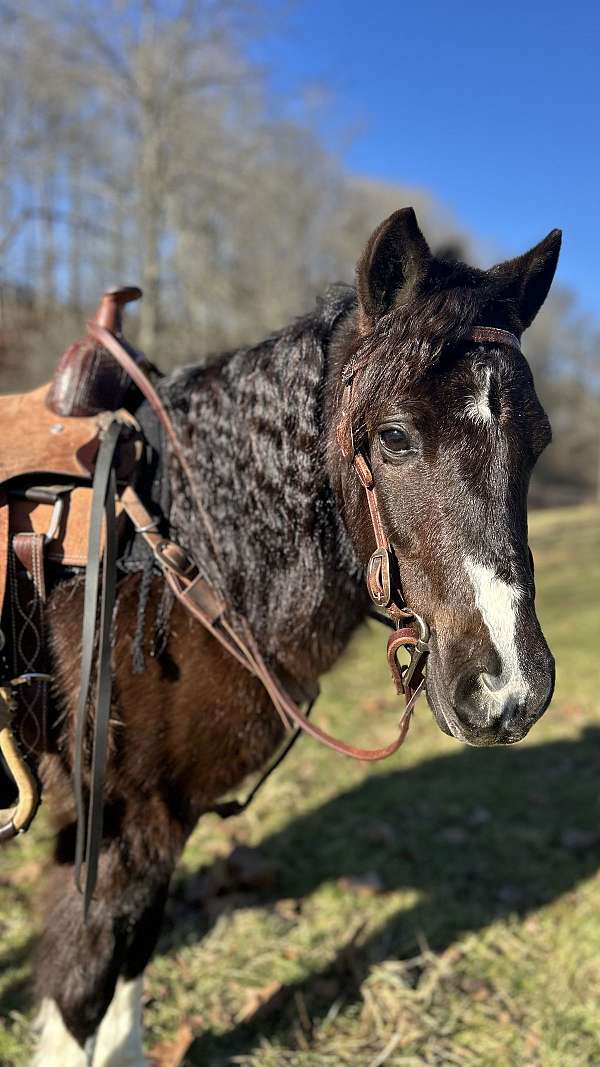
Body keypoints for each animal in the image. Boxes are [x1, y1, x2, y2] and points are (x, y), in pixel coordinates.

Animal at [29, 203, 555, 1062]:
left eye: (536, 441)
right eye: (393, 435)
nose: (510, 688)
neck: (168, 553)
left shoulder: (157, 823)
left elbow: (129, 971)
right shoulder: (114, 824)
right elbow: (83, 995)